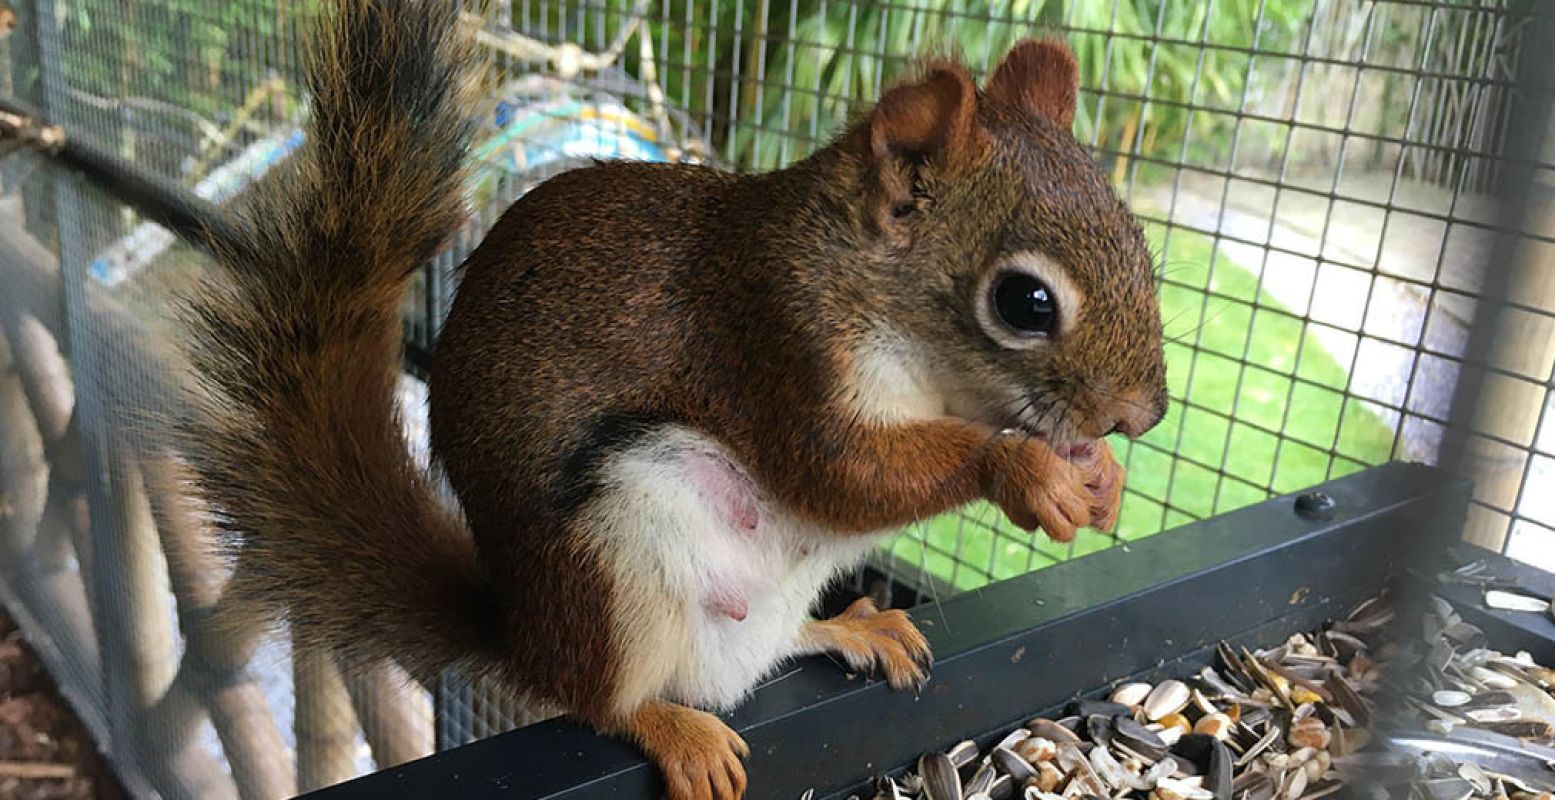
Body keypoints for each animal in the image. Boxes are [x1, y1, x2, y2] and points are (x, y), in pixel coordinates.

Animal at [173, 3, 1169, 793]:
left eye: (1135, 236)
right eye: (1024, 301)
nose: (1142, 416)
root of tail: (524, 628)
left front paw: (1102, 480)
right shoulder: (770, 342)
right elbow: (840, 475)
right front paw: (1024, 470)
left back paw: (851, 630)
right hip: (611, 549)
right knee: (595, 697)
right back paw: (668, 728)